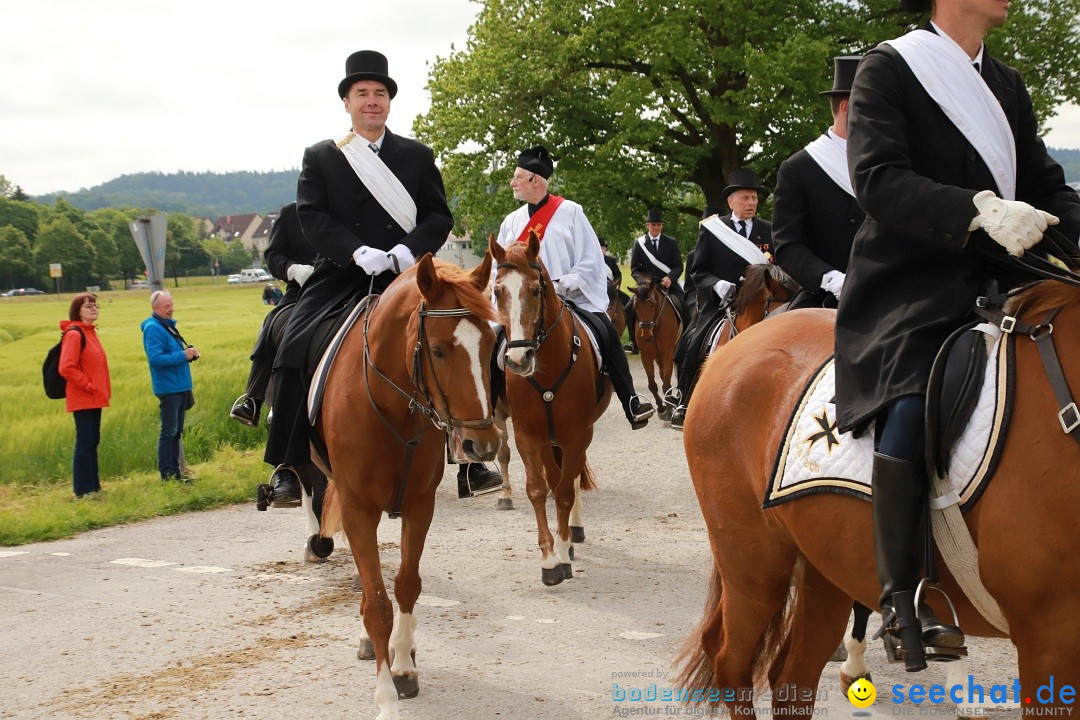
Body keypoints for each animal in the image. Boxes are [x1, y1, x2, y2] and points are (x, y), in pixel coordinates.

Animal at [488, 234, 609, 587]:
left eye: (536, 289)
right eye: (497, 291)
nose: (518, 360)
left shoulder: (576, 434)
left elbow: (566, 490)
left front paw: (564, 549)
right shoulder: (530, 436)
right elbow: (539, 489)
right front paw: (549, 558)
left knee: (572, 476)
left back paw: (573, 531)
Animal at [630, 278, 678, 423]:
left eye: (652, 305)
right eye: (636, 306)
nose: (646, 336)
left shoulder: (668, 353)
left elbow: (666, 385)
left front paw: (669, 409)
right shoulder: (646, 356)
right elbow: (653, 385)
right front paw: (662, 407)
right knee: (662, 374)